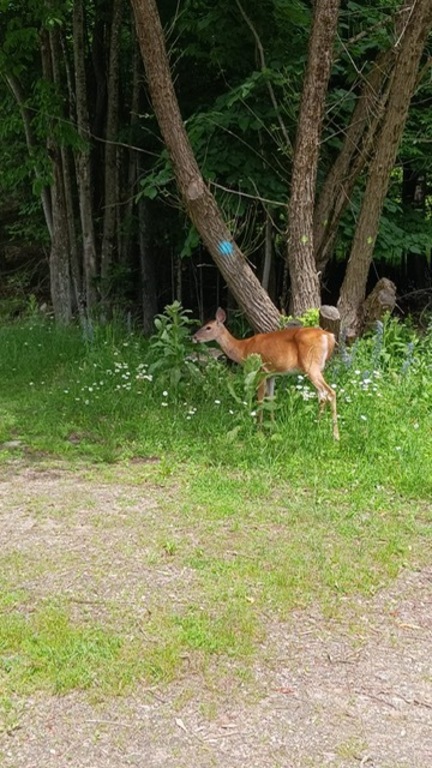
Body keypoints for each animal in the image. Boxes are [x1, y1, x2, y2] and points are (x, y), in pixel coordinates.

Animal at [193, 307, 339, 440]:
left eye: (208, 327)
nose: (193, 337)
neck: (243, 349)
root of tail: (329, 337)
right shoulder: (271, 374)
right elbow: (271, 399)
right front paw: (273, 426)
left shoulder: (260, 371)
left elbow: (260, 400)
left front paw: (259, 429)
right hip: (317, 368)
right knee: (321, 395)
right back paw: (317, 426)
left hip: (311, 365)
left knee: (330, 392)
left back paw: (335, 436)